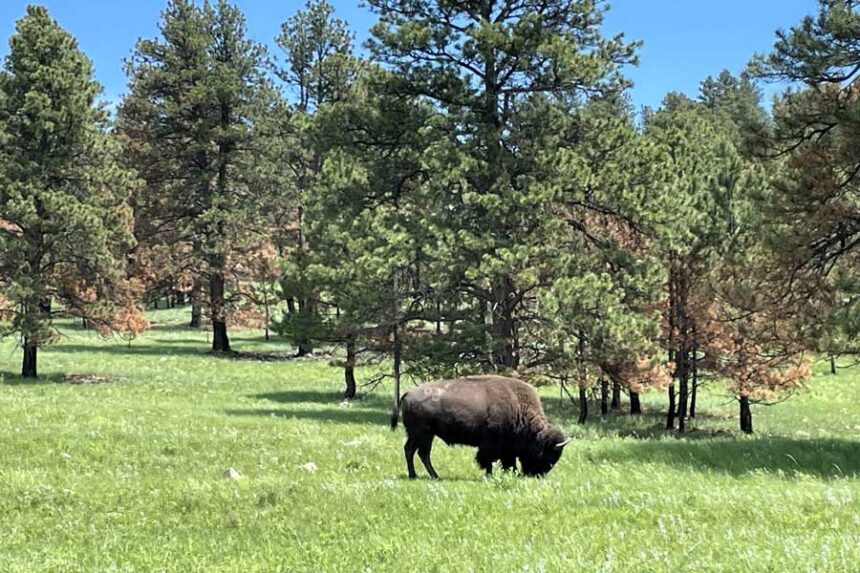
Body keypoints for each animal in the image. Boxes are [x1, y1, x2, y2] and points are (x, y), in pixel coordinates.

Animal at [391, 375, 571, 479]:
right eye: (548, 455)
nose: (536, 475)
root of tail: (408, 393)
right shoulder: (491, 446)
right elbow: (489, 460)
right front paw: (490, 475)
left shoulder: (506, 449)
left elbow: (506, 461)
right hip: (422, 434)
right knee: (417, 452)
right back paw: (423, 476)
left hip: (422, 435)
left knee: (416, 452)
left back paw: (427, 476)